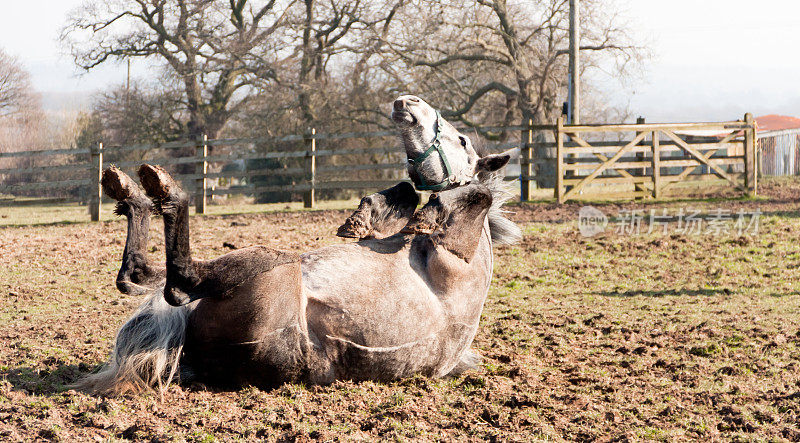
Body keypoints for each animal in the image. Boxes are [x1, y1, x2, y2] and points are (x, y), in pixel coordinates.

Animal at [78, 97, 520, 396]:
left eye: (461, 139)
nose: (405, 102)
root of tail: (195, 355)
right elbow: (402, 198)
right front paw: (367, 214)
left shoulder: (454, 251)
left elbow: (474, 196)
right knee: (139, 275)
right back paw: (129, 191)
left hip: (271, 263)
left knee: (173, 280)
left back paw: (159, 188)